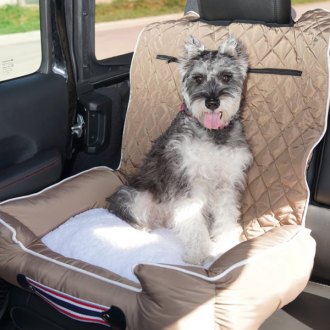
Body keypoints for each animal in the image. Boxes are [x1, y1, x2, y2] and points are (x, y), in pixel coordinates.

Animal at [108, 36, 253, 266]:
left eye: (226, 76)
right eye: (198, 78)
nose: (212, 102)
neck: (212, 134)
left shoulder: (226, 184)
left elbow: (226, 215)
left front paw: (226, 244)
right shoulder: (187, 183)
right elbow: (194, 222)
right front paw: (197, 253)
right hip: (133, 196)